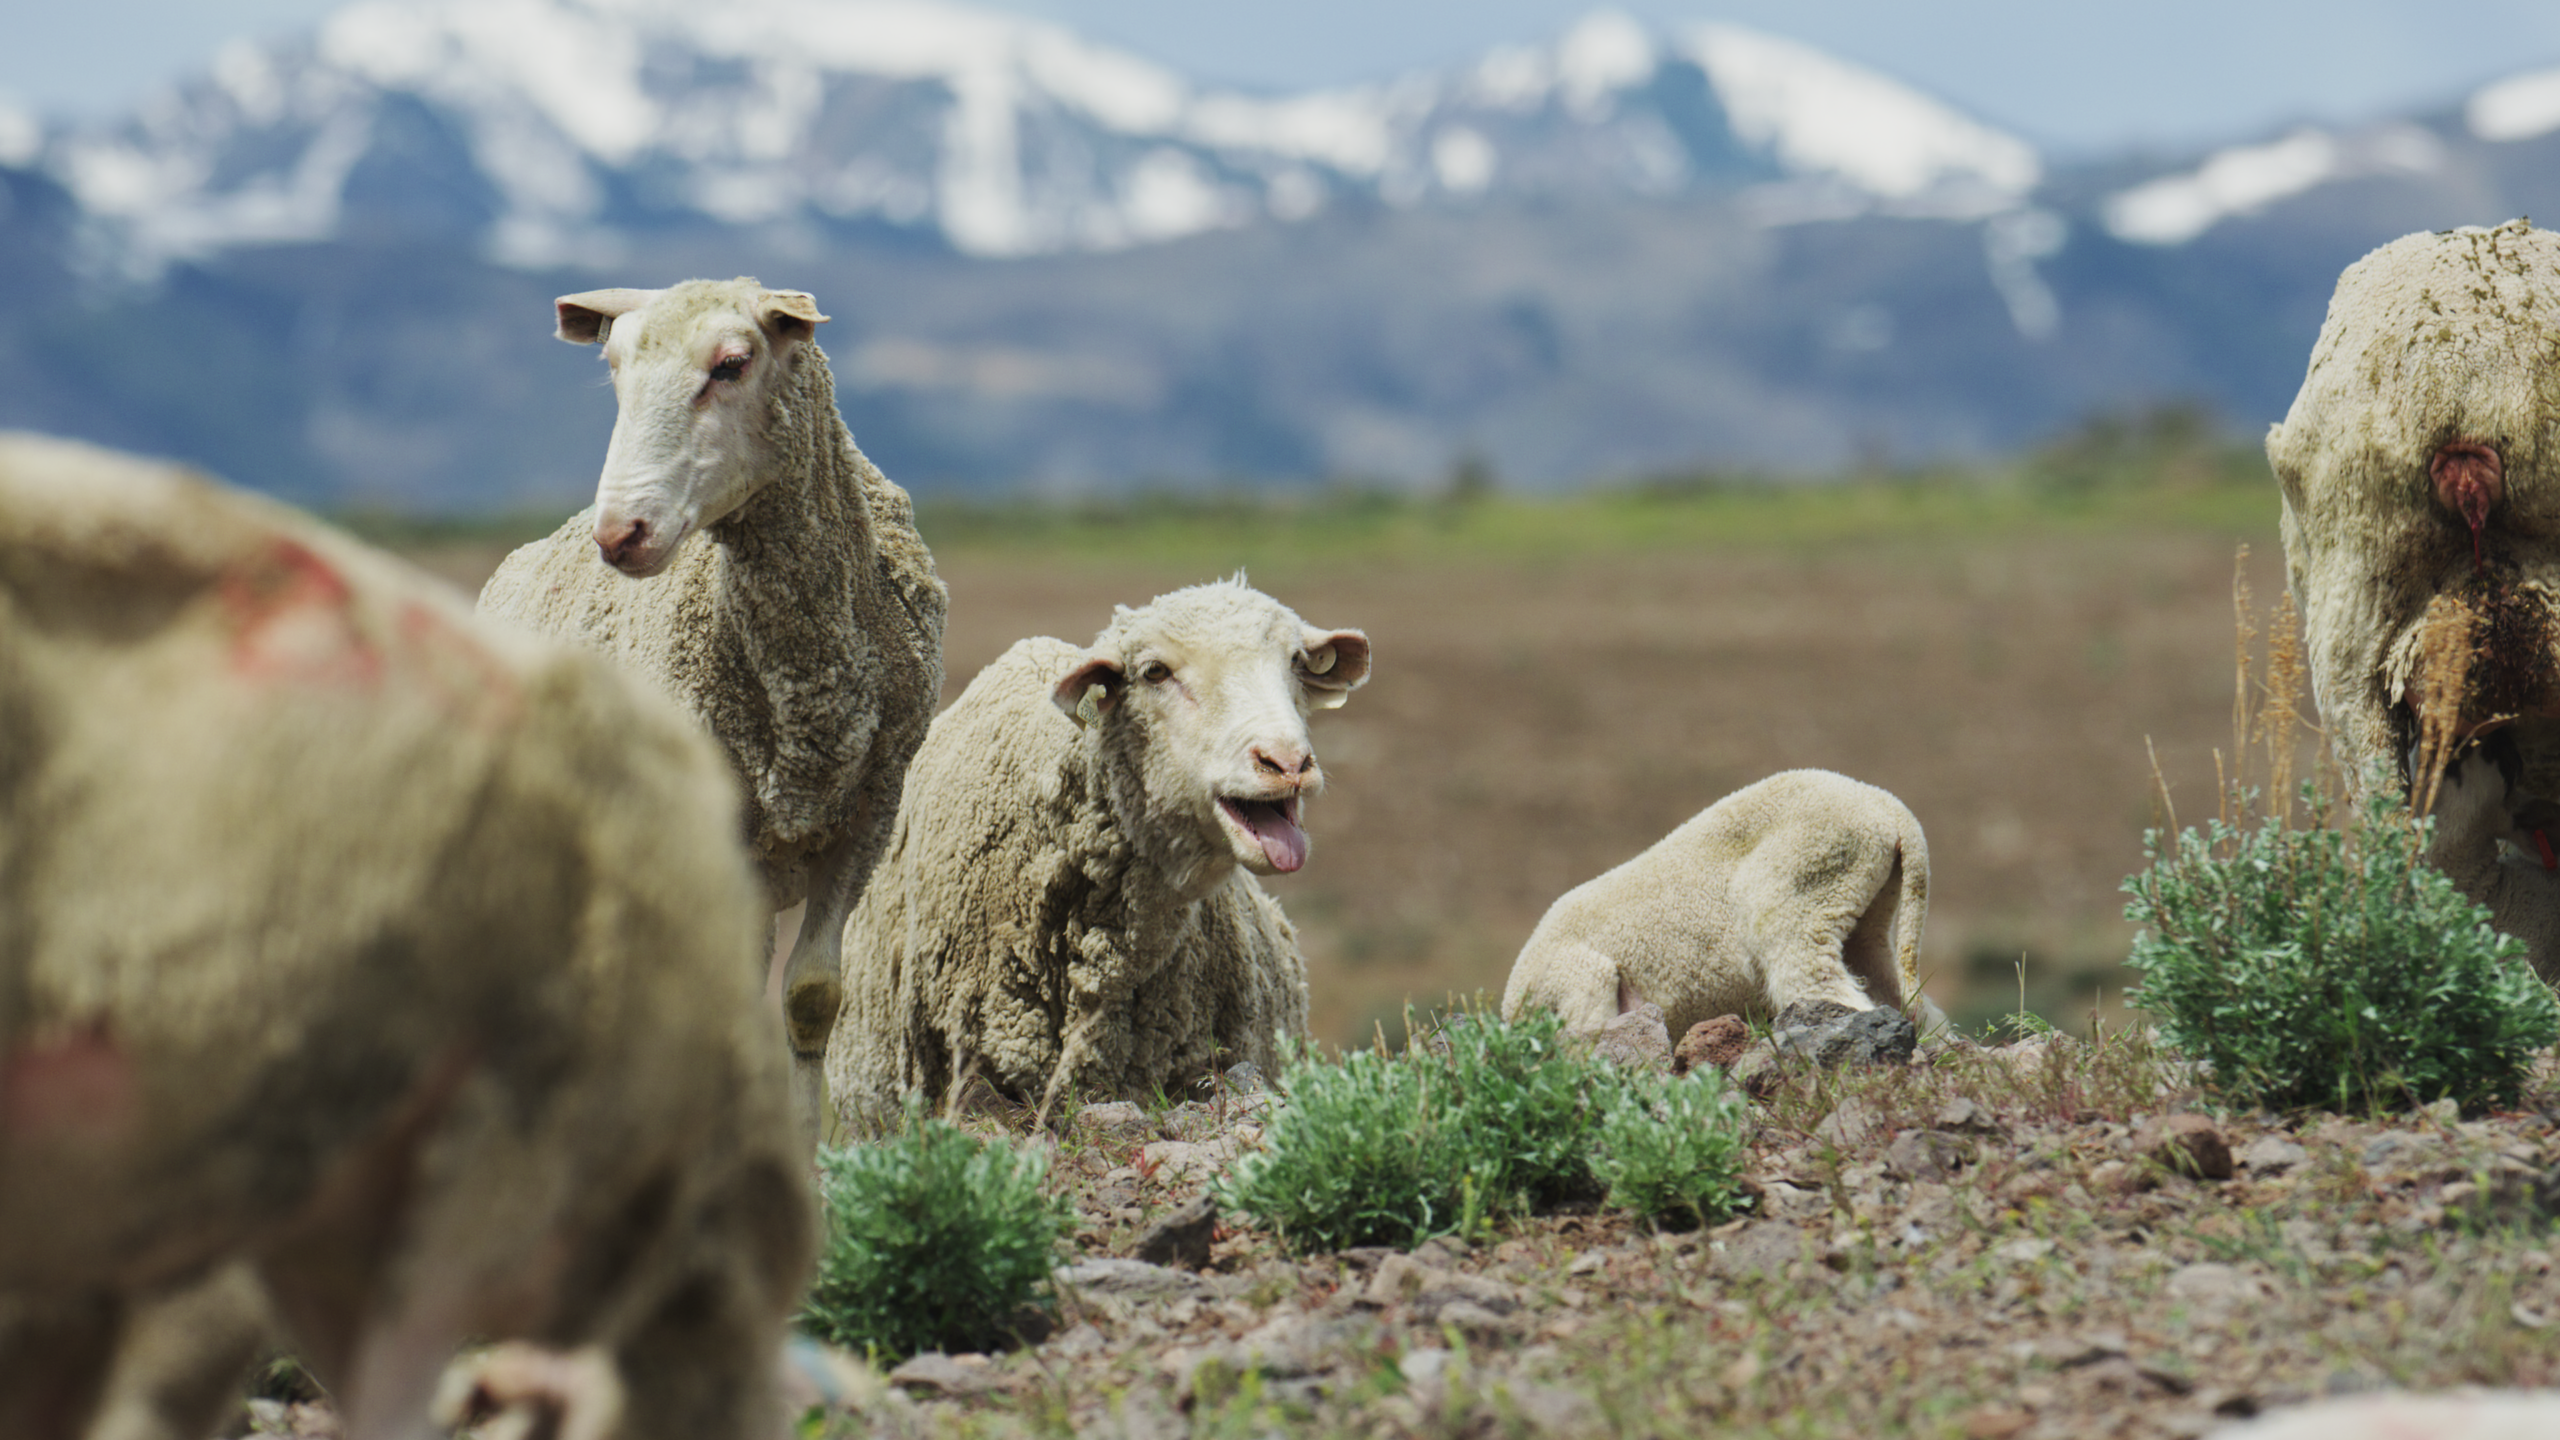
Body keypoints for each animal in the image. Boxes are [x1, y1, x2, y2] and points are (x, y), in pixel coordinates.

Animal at [477, 277, 948, 1143]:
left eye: (731, 364)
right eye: (615, 369)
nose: (620, 533)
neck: (808, 687)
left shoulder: (870, 810)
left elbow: (810, 999)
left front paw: (807, 1151)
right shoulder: (723, 826)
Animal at [1501, 769, 1930, 1037]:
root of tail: (1893, 812)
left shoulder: (1575, 978)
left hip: (1810, 872)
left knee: (1813, 976)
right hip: (1868, 907)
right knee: (1894, 991)